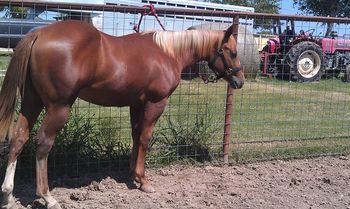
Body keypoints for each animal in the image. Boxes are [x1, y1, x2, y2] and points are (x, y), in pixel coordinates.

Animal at [0, 20, 243, 209]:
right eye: (233, 52)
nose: (239, 81)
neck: (167, 52)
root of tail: (40, 34)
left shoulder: (136, 104)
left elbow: (136, 136)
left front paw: (133, 174)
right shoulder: (155, 104)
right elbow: (145, 138)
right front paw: (144, 181)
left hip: (32, 102)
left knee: (18, 138)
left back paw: (8, 194)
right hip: (58, 107)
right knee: (43, 144)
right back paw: (47, 196)